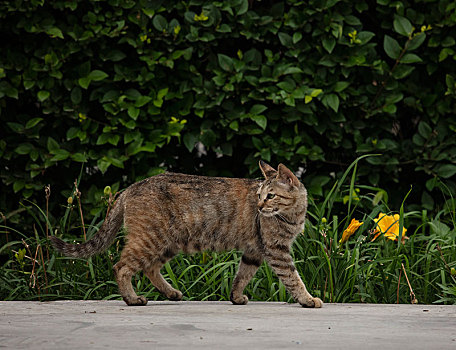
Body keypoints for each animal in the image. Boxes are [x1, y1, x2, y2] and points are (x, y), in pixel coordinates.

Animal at [50, 162, 324, 308]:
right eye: (259, 195)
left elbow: (241, 276)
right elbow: (293, 279)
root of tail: (130, 187)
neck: (293, 214)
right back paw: (132, 299)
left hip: (169, 242)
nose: (258, 207)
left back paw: (170, 293)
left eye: (270, 196)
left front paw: (235, 297)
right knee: (122, 267)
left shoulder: (254, 251)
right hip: (151, 239)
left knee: (150, 268)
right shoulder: (277, 251)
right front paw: (307, 299)